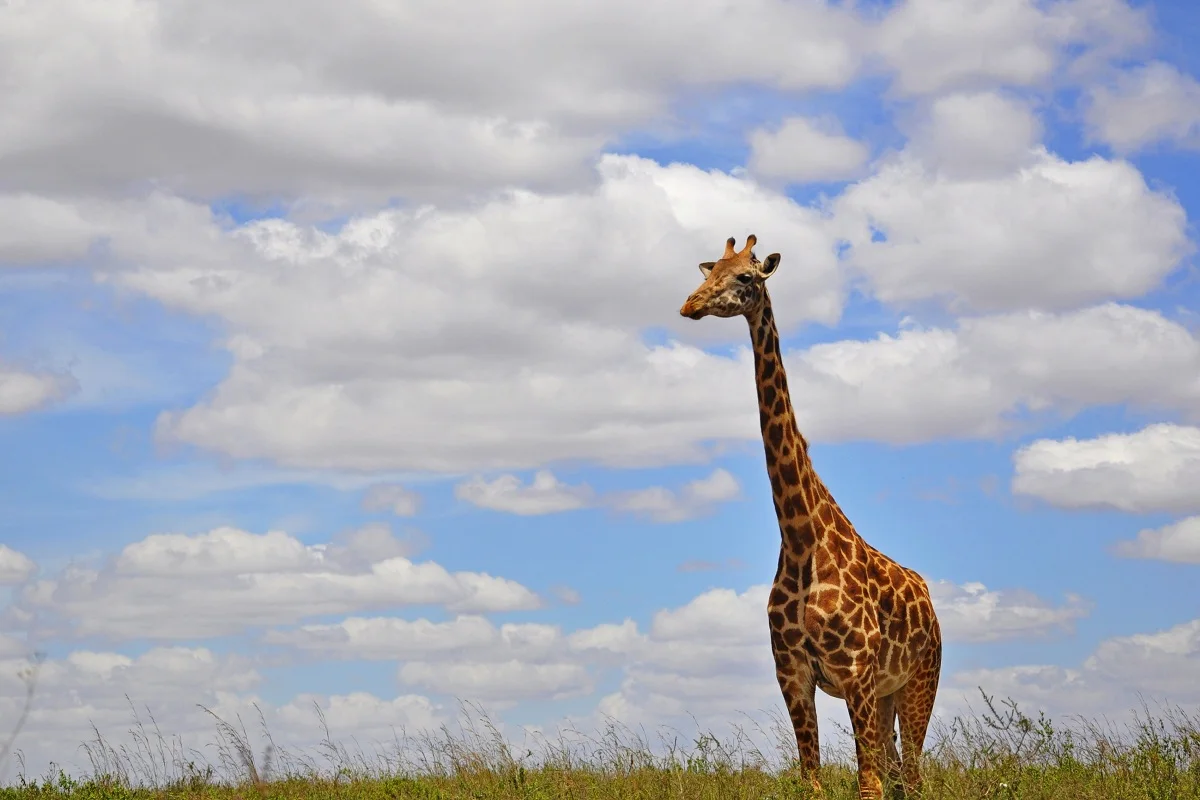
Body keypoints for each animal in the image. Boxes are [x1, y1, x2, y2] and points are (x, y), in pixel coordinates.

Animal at [678, 235, 942, 799]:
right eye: (712, 271)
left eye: (747, 277)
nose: (690, 305)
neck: (801, 539)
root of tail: (930, 603)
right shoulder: (793, 676)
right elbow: (813, 781)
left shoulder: (856, 674)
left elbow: (868, 786)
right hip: (887, 694)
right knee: (899, 773)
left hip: (918, 681)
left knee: (912, 775)